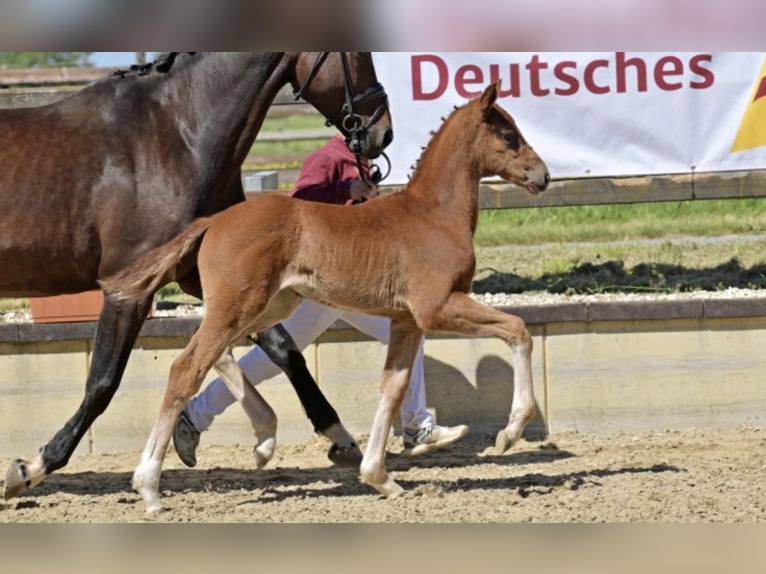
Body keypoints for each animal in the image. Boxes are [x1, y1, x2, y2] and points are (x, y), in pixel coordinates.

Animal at [1, 52, 392, 500]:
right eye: (359, 55)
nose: (383, 131)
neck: (175, 136)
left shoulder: (213, 274)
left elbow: (281, 348)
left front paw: (335, 438)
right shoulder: (129, 291)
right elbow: (102, 381)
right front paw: (32, 467)